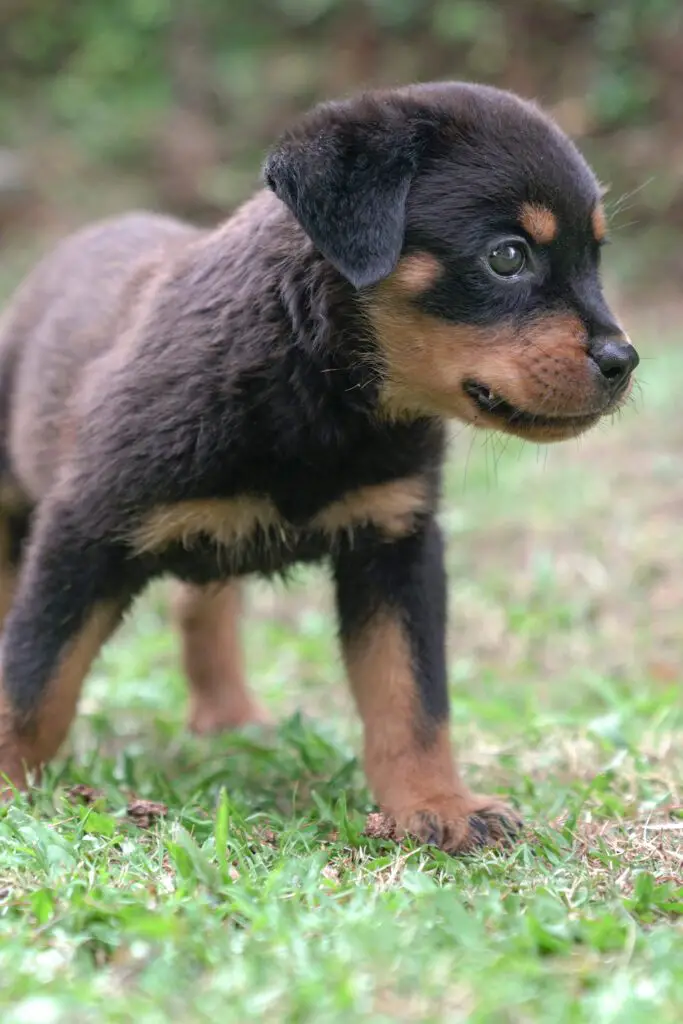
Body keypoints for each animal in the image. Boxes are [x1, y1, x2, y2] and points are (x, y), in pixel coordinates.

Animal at [0, 77, 638, 847]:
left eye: (596, 256)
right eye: (507, 256)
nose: (623, 361)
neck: (317, 390)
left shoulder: (396, 542)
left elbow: (411, 695)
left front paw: (437, 804)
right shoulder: (83, 527)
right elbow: (36, 679)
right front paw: (8, 783)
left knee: (204, 606)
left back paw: (229, 717)